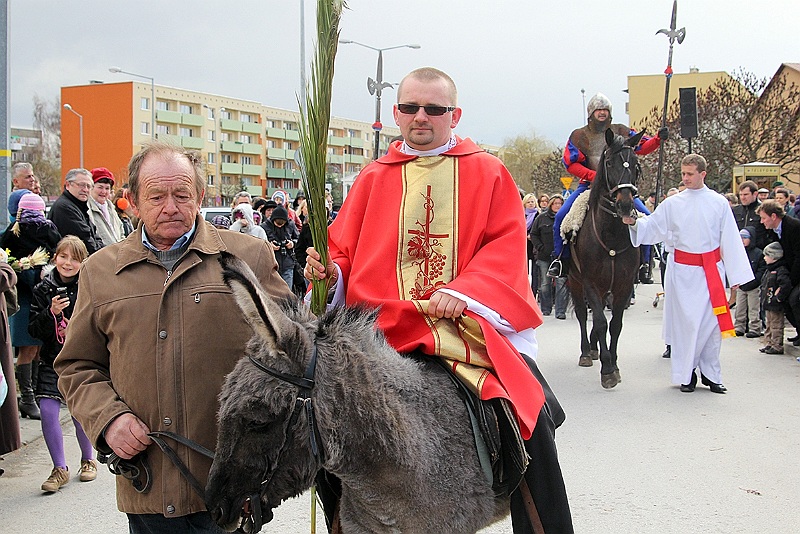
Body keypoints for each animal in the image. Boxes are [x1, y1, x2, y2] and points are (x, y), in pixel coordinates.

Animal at [568, 128, 645, 389]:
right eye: (609, 162)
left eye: (635, 164)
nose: (625, 205)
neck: (611, 236)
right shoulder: (590, 283)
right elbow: (600, 322)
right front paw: (608, 369)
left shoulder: (623, 285)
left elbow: (615, 324)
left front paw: (614, 363)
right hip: (574, 281)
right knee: (584, 315)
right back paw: (586, 352)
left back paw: (594, 349)